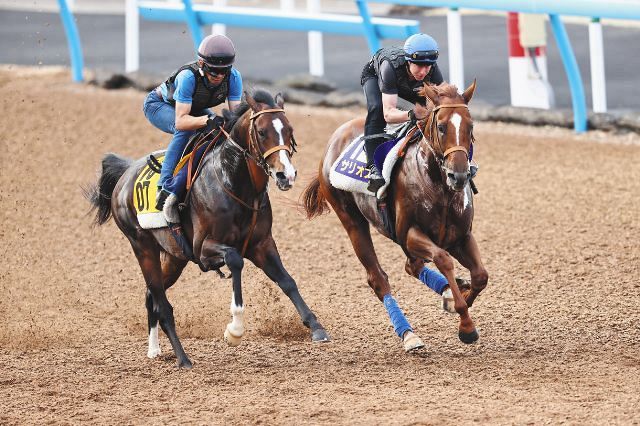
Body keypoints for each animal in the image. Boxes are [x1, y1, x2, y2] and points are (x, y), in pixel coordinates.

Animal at [87, 90, 328, 370]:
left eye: (289, 130)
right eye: (261, 131)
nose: (285, 175)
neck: (233, 184)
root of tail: (125, 175)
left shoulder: (261, 244)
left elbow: (287, 281)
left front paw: (316, 327)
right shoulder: (203, 249)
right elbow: (235, 260)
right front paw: (234, 330)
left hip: (174, 258)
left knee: (151, 295)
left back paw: (154, 349)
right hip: (142, 246)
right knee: (162, 304)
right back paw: (182, 358)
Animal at [302, 81, 488, 352]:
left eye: (470, 126)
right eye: (441, 127)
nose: (460, 176)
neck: (437, 184)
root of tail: (335, 138)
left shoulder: (461, 236)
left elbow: (480, 276)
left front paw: (456, 298)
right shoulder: (409, 233)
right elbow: (443, 260)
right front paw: (465, 325)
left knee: (412, 266)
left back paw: (445, 292)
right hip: (351, 220)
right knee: (378, 278)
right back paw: (409, 335)